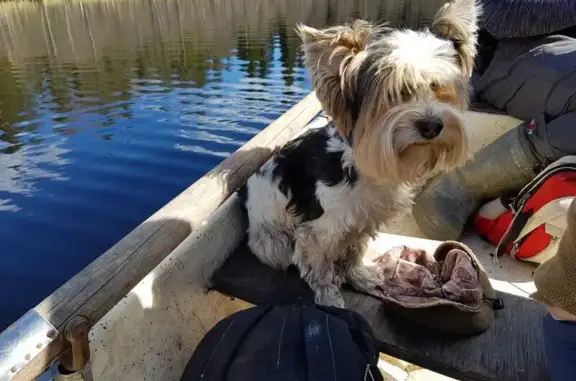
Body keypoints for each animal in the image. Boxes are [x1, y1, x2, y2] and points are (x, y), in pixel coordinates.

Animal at [240, 0, 482, 306]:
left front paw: (359, 275)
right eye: (395, 94)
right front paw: (329, 296)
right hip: (272, 243)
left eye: (438, 88)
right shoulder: (320, 229)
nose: (432, 125)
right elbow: (319, 264)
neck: (369, 166)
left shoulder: (362, 220)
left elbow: (353, 250)